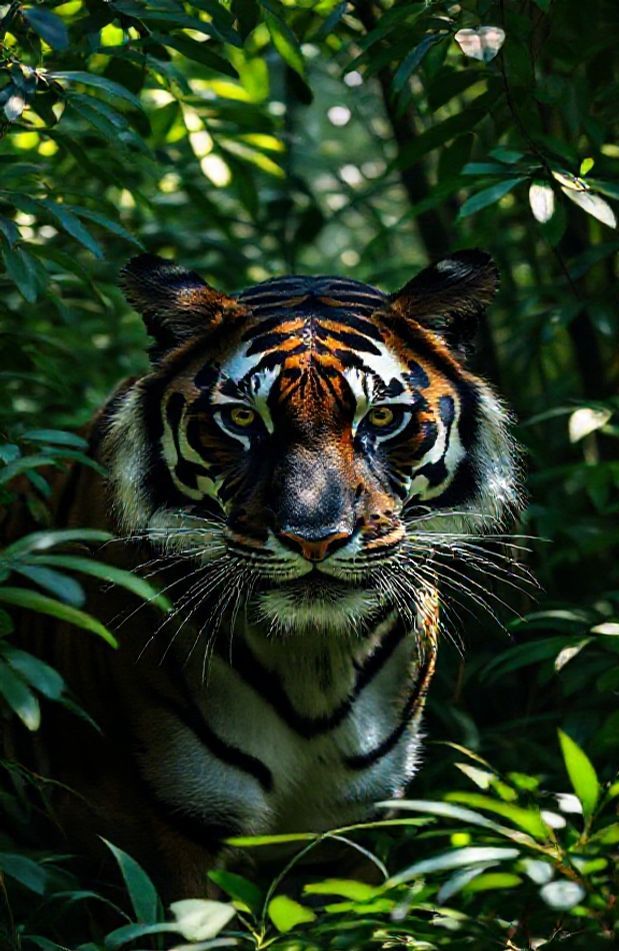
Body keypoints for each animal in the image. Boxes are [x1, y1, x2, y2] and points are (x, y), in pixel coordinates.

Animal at [8, 249, 521, 899]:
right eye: (241, 419)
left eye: (382, 417)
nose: (315, 534)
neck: (314, 661)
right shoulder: (142, 820)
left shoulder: (349, 829)